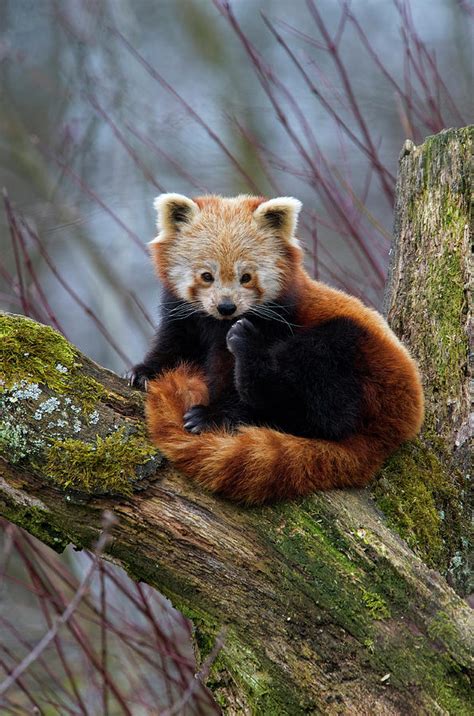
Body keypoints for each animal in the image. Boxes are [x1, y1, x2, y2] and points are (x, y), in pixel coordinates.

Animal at [131, 192, 424, 504]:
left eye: (246, 277)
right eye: (207, 276)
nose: (226, 307)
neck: (218, 324)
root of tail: (396, 429)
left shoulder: (275, 321)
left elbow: (229, 376)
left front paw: (212, 415)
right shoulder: (184, 315)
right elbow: (173, 343)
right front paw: (145, 372)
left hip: (363, 361)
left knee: (328, 401)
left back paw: (249, 361)